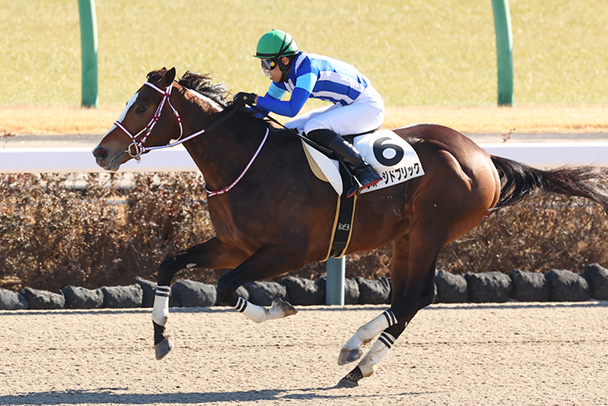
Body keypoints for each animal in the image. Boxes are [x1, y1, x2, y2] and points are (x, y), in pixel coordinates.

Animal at [93, 67, 608, 387]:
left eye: (142, 108)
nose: (101, 152)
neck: (246, 162)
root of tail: (482, 155)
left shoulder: (289, 251)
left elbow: (225, 288)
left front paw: (278, 308)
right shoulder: (233, 244)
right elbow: (170, 263)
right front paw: (161, 338)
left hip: (431, 230)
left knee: (419, 296)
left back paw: (357, 357)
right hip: (406, 237)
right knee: (407, 298)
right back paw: (356, 357)